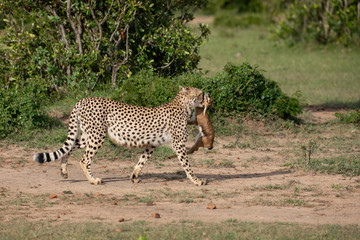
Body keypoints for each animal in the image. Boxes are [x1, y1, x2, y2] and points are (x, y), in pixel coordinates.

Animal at [34, 86, 208, 186]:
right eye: (200, 93)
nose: (208, 96)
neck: (184, 105)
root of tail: (83, 99)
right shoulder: (179, 144)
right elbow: (187, 165)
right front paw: (196, 180)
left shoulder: (152, 144)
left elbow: (141, 161)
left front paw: (134, 176)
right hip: (97, 135)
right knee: (84, 159)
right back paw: (93, 180)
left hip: (87, 136)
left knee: (69, 147)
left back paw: (64, 171)